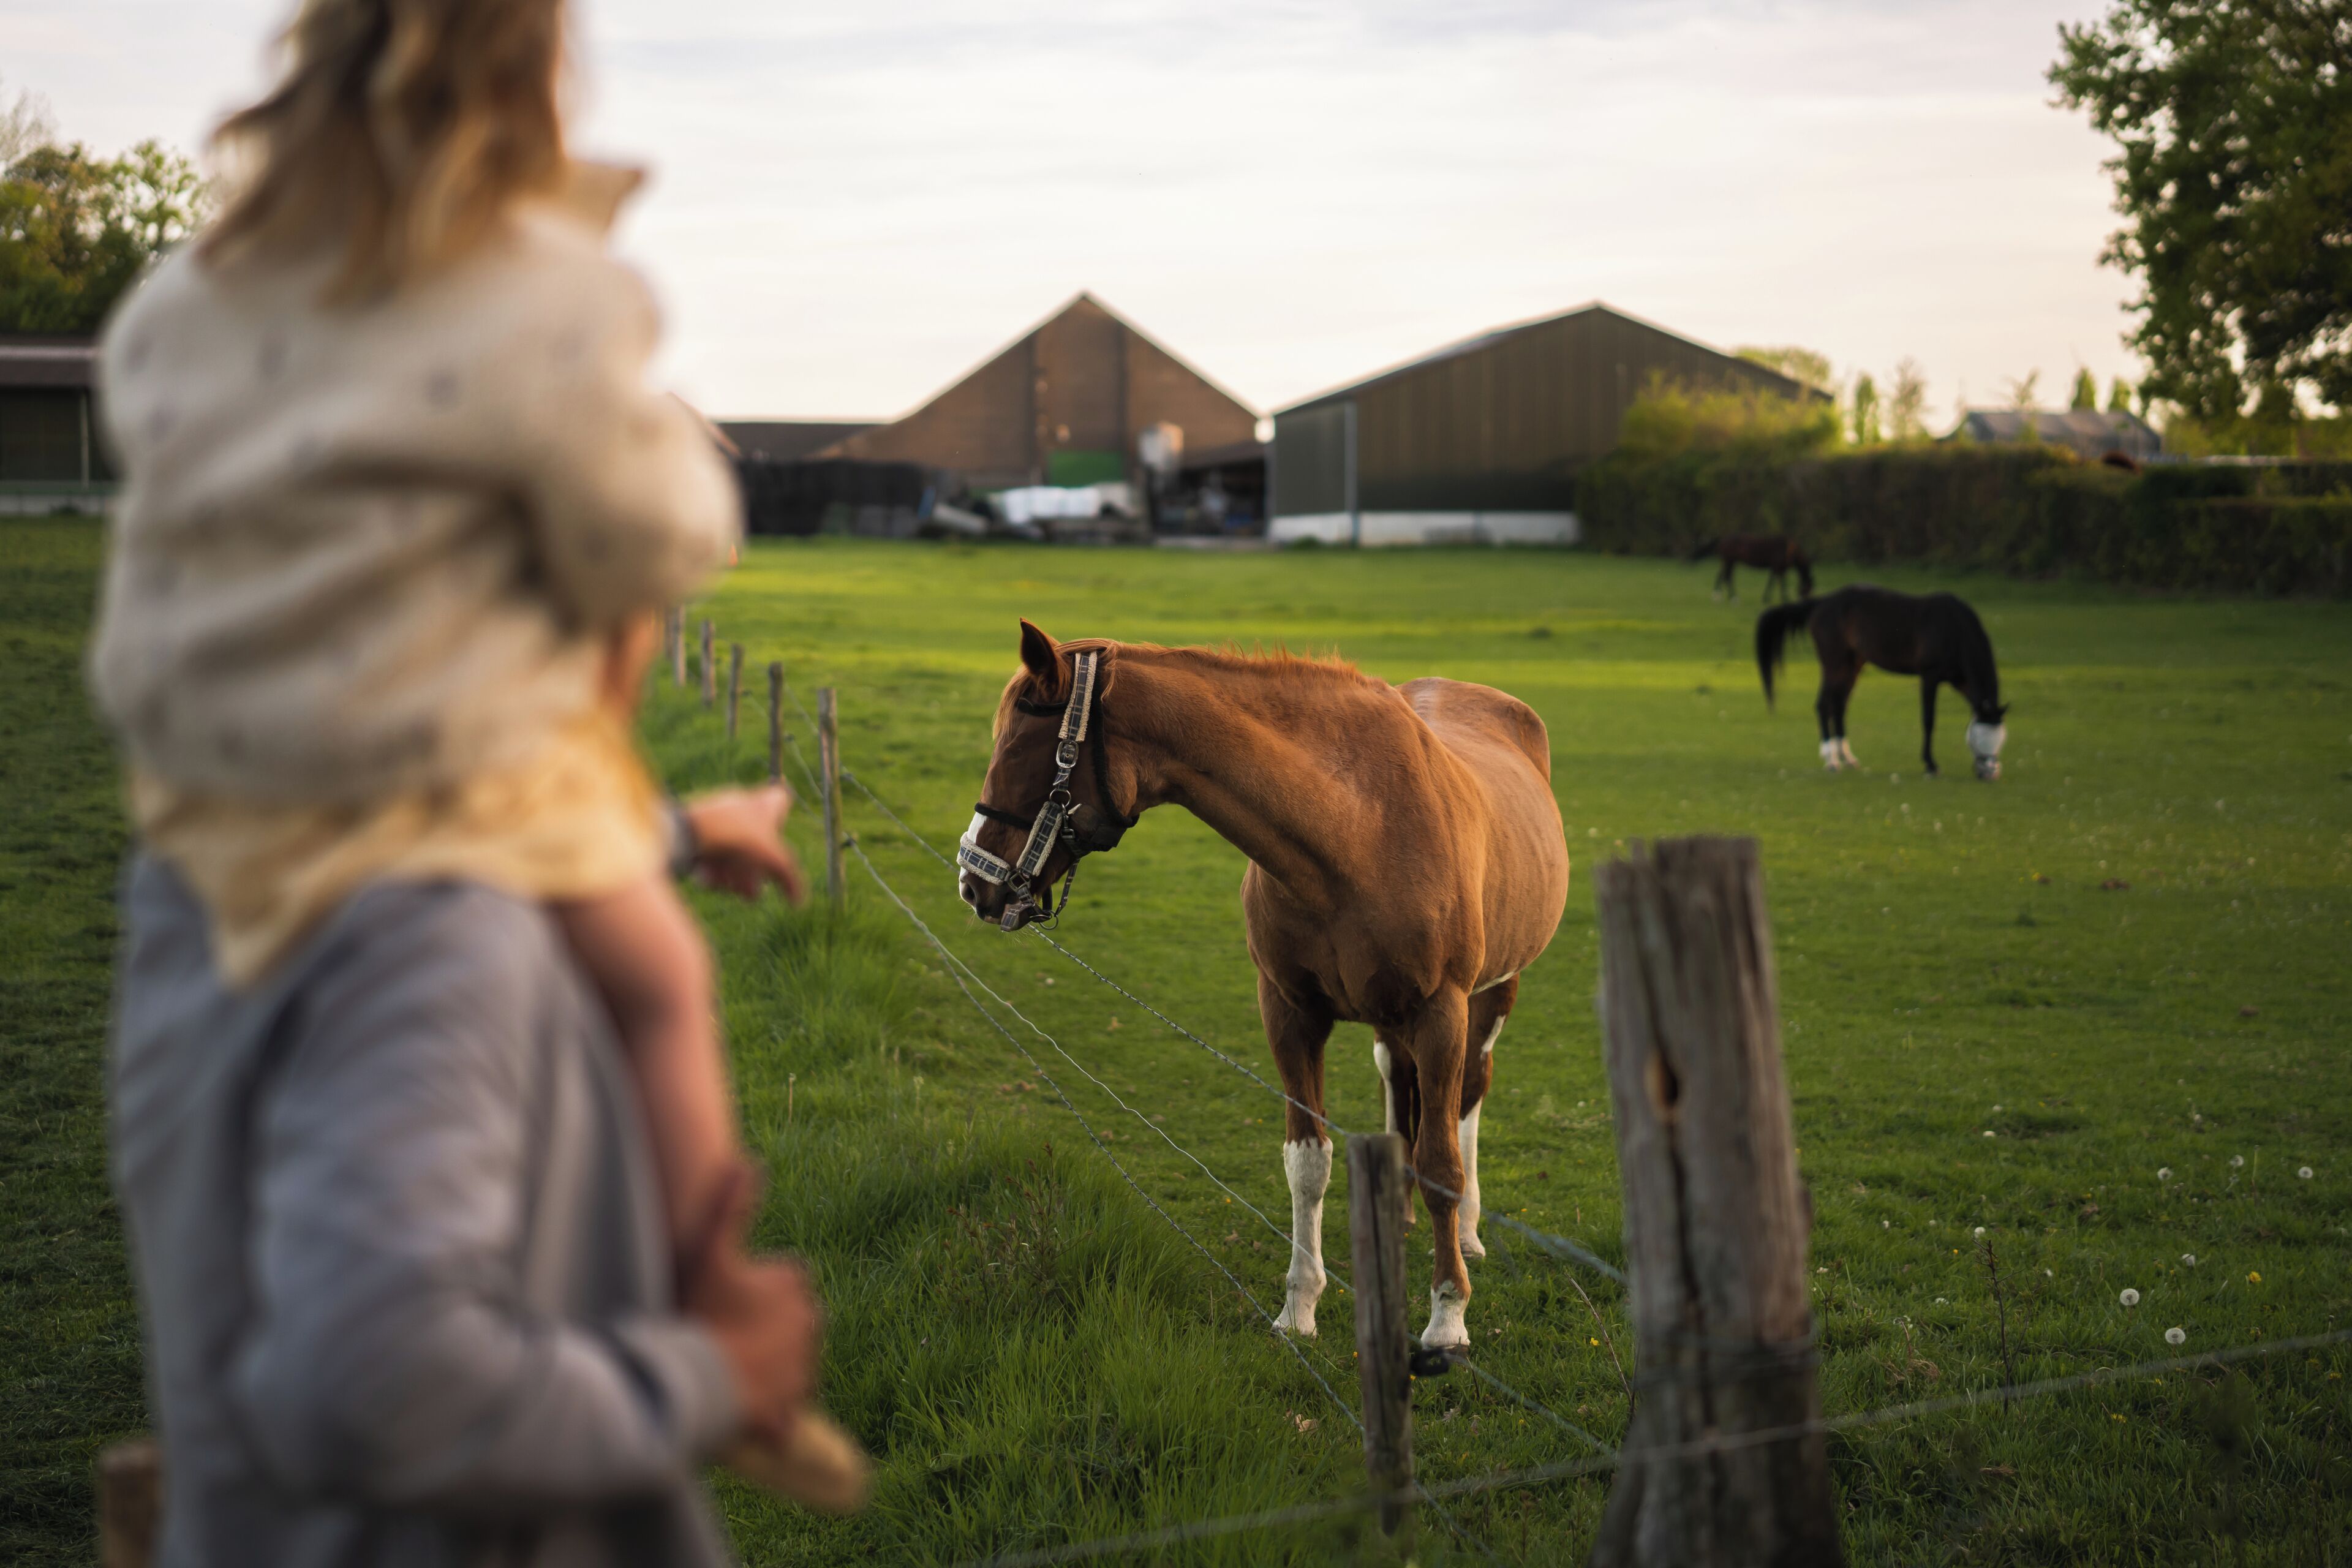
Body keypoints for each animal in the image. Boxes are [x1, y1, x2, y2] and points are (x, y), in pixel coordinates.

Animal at [955, 622, 1571, 1349]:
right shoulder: (1290, 1012)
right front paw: (1299, 1307)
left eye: (1023, 748)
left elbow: (1442, 1164)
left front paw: (1447, 1317)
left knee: (1470, 1095)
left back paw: (1469, 1232)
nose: (973, 881)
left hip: (1492, 995)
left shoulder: (1439, 1013)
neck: (1359, 831)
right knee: (1399, 1082)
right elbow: (1308, 1162)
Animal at [1688, 535, 1814, 603]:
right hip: (1729, 560)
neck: (1791, 550)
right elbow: (1780, 582)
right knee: (1727, 576)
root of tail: (1722, 539)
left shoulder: (1776, 567)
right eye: (1808, 588)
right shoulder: (1779, 567)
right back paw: (1732, 598)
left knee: (1724, 575)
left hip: (1729, 561)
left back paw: (1720, 596)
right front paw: (1785, 599)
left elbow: (1772, 581)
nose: (1805, 601)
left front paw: (1766, 598)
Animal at [1755, 585, 2009, 779]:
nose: (1991, 774)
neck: (1954, 629)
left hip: (1853, 664)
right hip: (1834, 664)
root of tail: (1822, 602)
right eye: (1980, 739)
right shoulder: (1930, 676)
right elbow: (1929, 720)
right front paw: (1930, 764)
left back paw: (1847, 758)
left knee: (1839, 706)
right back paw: (1831, 760)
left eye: (2000, 740)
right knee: (1824, 705)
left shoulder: (1962, 682)